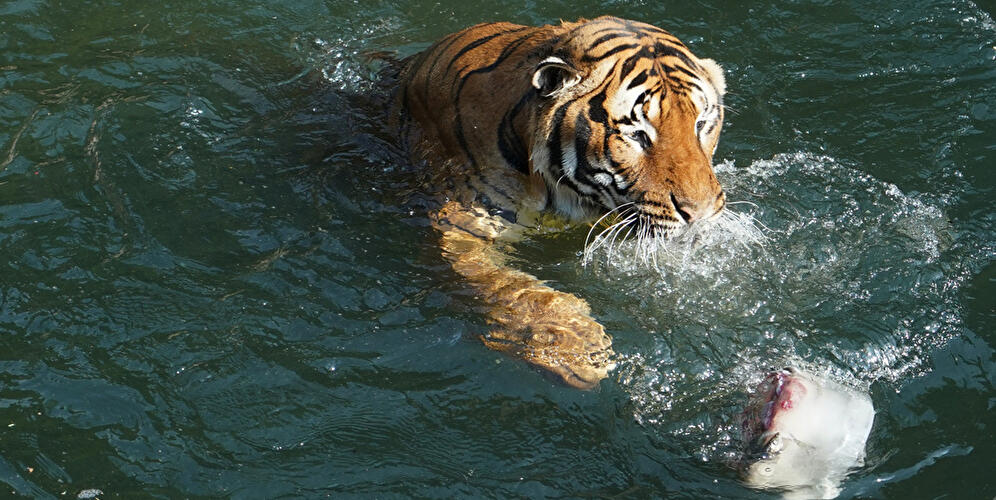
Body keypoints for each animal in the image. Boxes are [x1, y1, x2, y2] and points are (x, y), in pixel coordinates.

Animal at [390, 16, 727, 389]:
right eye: (637, 135)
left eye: (701, 124)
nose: (700, 213)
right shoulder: (460, 223)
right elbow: (503, 285)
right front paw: (578, 347)